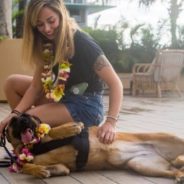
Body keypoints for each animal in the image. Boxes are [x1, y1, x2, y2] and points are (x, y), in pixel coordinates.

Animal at [5, 114, 184, 183]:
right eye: (13, 121)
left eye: (28, 116)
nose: (23, 120)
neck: (34, 146)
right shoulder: (62, 168)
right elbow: (26, 166)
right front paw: (37, 170)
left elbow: (55, 130)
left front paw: (71, 128)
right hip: (141, 165)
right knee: (175, 171)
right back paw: (179, 175)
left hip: (173, 140)